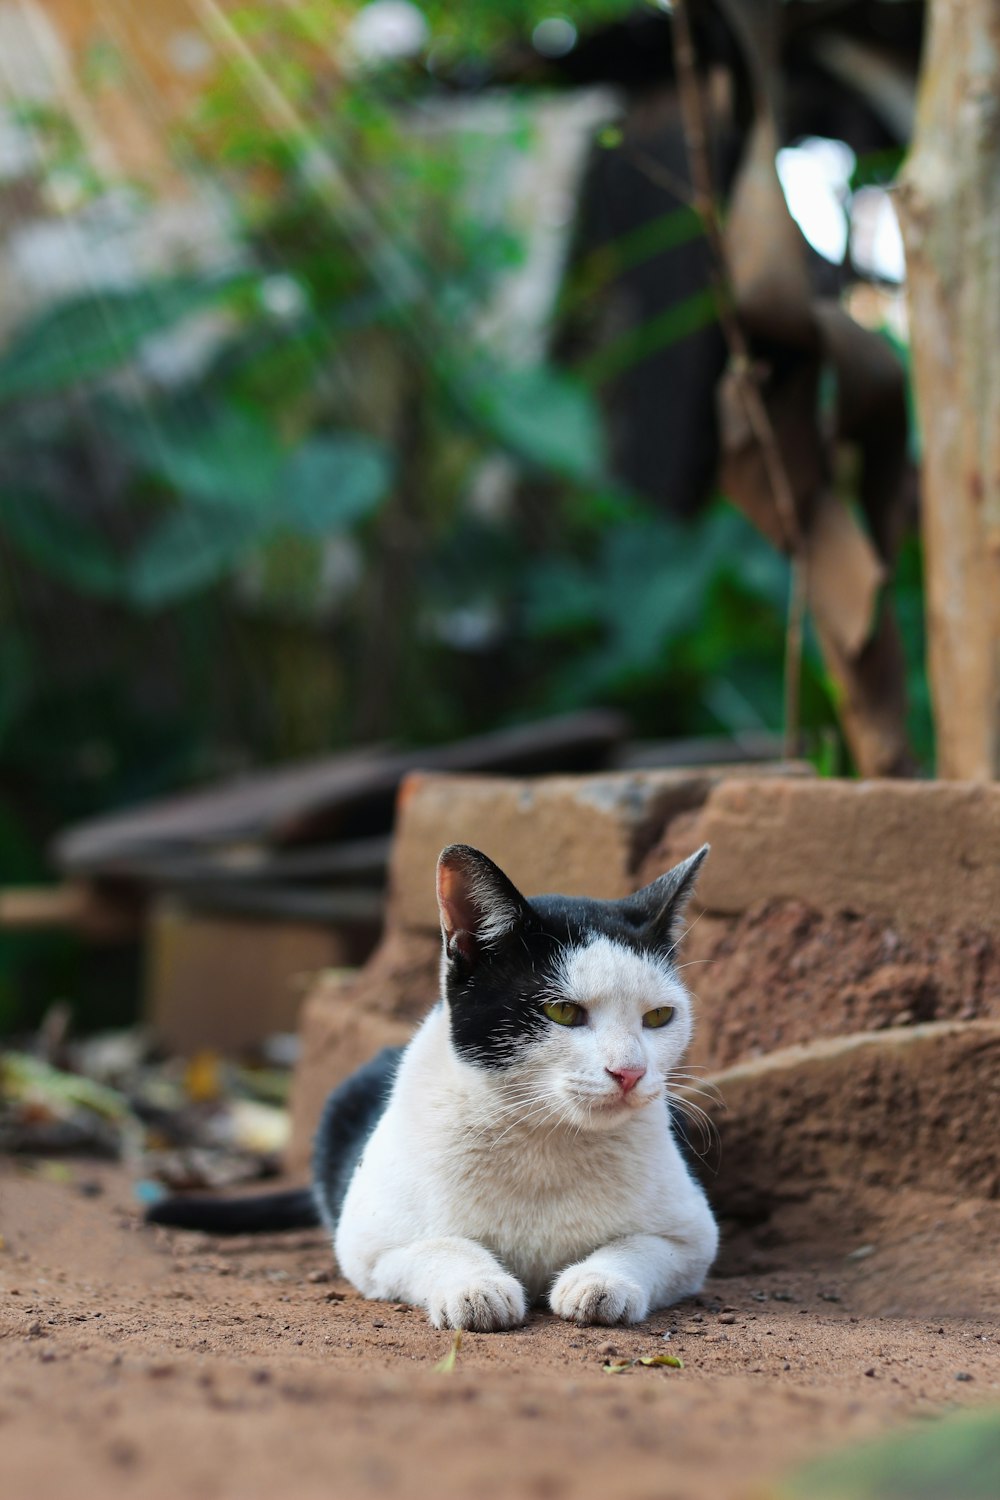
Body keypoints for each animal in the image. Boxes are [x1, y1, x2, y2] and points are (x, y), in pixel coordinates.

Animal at [146, 840, 719, 1332]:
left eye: (659, 1016)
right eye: (563, 1012)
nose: (631, 1072)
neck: (545, 1137)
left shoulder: (694, 1238)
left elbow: (642, 1247)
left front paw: (598, 1281)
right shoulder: (368, 1242)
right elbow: (438, 1247)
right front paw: (478, 1288)